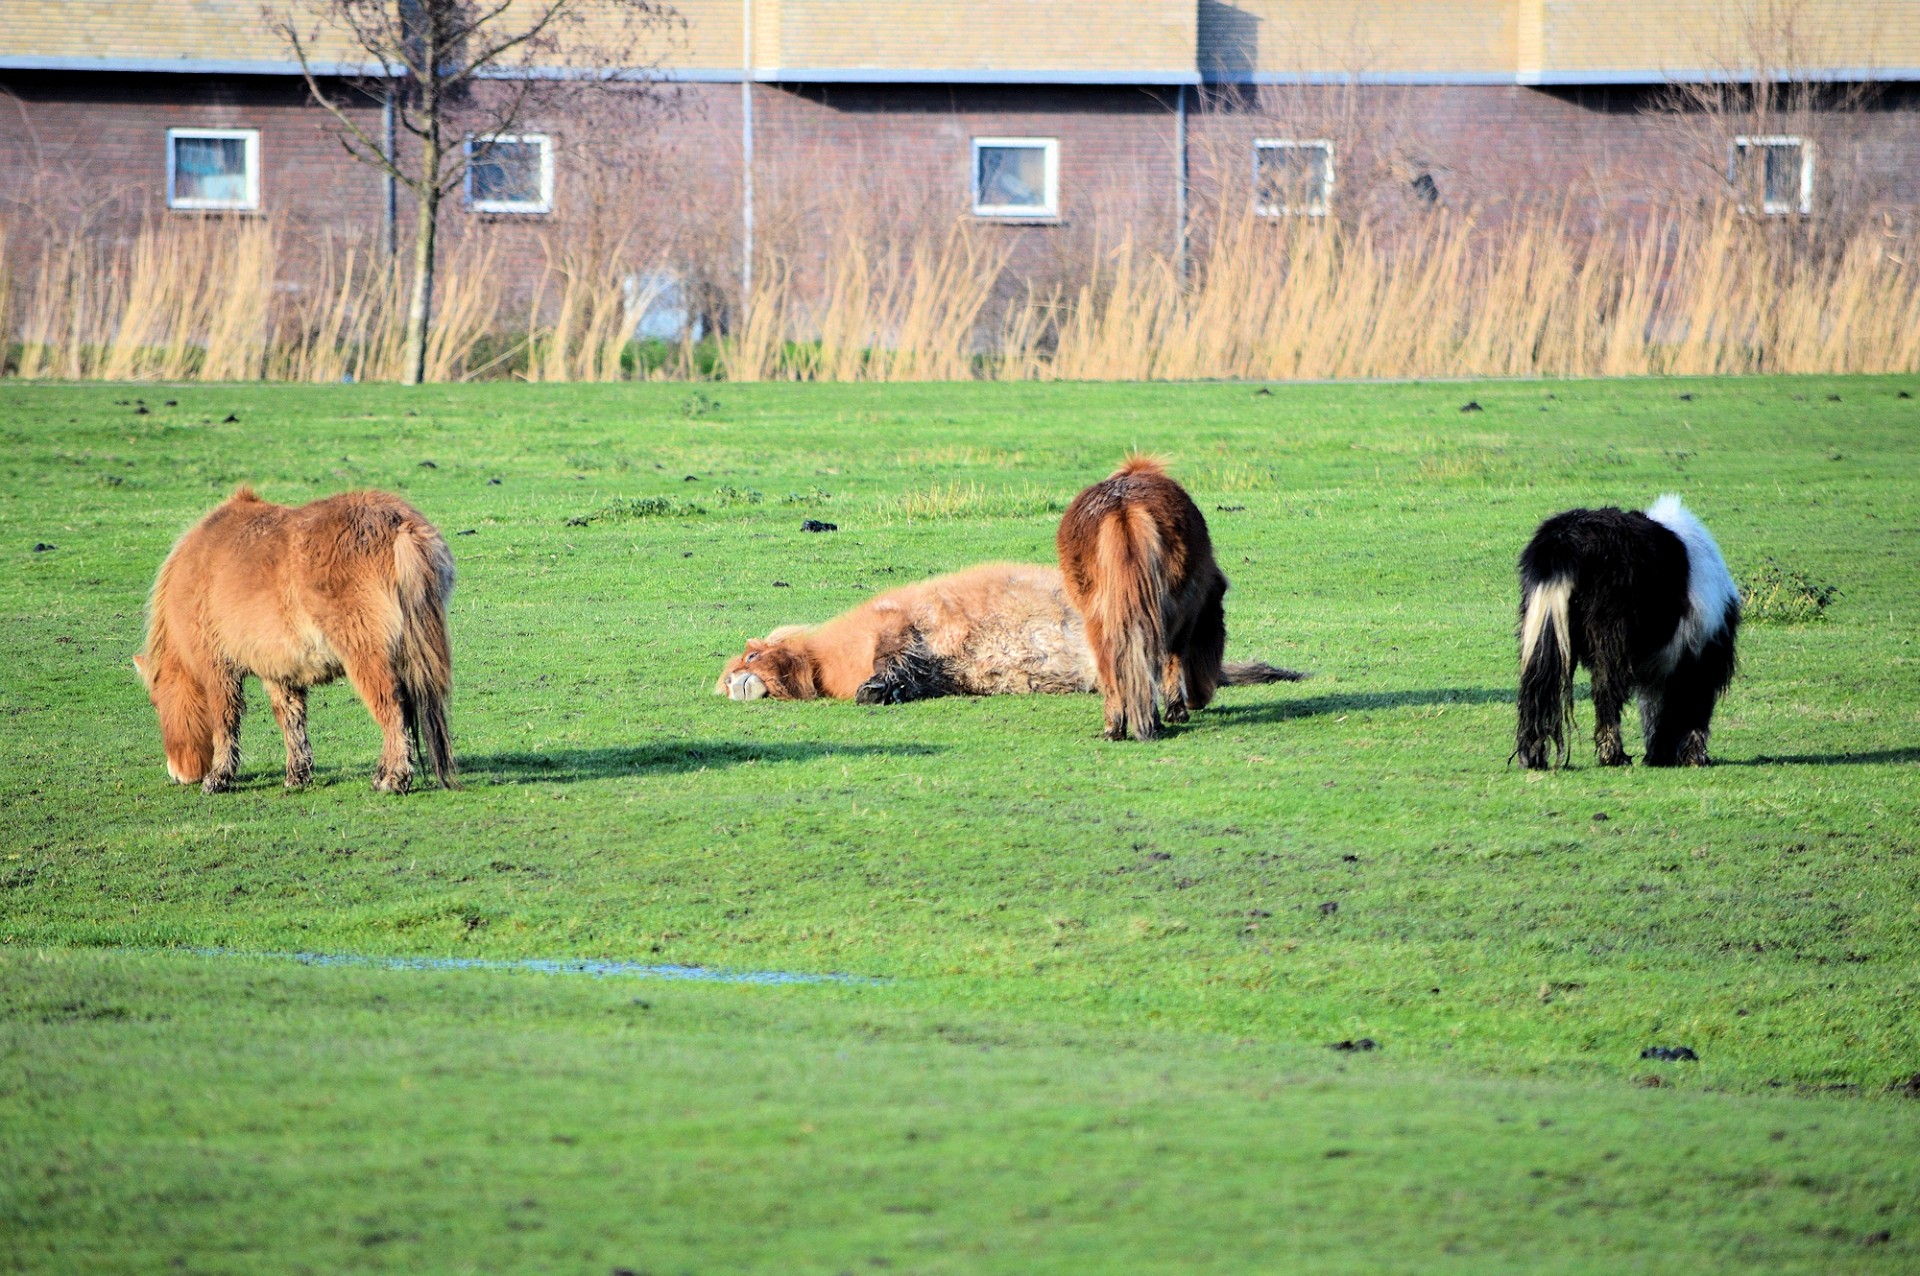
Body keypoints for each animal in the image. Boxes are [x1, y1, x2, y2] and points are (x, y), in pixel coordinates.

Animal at [135, 485, 456, 790]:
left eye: (155, 702)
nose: (178, 774)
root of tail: (399, 527)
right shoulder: (278, 671)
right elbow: (290, 719)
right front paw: (297, 775)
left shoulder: (217, 669)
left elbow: (224, 718)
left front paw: (218, 778)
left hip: (367, 656)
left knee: (391, 708)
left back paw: (393, 779)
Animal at [1052, 454, 1228, 736]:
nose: (1200, 698)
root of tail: (1124, 509)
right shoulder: (1187, 615)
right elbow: (1174, 658)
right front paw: (1176, 711)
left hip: (1097, 616)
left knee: (1111, 662)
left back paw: (1117, 726)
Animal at [1512, 489, 1743, 767]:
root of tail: (1563, 542)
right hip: (1611, 634)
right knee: (1605, 691)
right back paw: (1614, 755)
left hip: (1543, 624)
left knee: (1536, 685)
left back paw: (1533, 757)